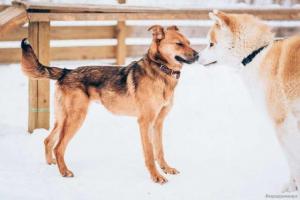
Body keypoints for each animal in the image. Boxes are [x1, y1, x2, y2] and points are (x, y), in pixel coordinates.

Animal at [21, 25, 199, 184]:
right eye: (179, 44)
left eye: (189, 42)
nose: (198, 55)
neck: (160, 70)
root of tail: (66, 71)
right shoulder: (145, 122)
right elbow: (149, 153)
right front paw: (156, 176)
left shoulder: (158, 123)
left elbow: (160, 150)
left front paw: (166, 168)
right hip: (76, 118)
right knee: (58, 147)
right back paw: (64, 171)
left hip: (63, 118)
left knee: (48, 140)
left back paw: (52, 163)